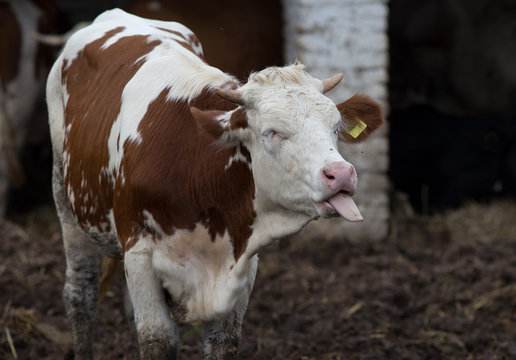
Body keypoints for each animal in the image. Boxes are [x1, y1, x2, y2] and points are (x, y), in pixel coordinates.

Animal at [45, 8, 382, 360]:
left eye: (335, 127)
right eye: (271, 132)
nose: (341, 174)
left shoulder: (242, 264)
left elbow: (223, 342)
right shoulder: (139, 253)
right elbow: (156, 339)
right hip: (65, 199)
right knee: (80, 294)